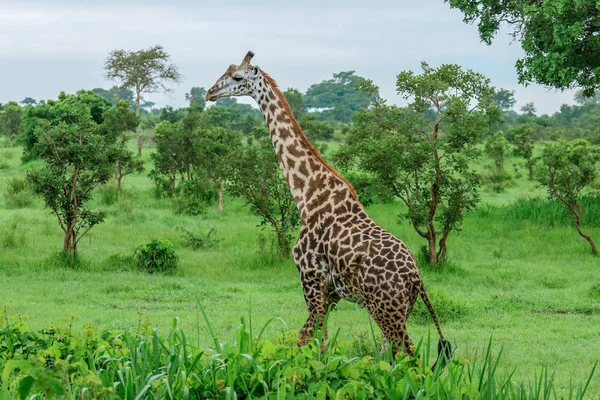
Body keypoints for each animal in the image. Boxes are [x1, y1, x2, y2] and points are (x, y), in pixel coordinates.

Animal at [205, 51, 450, 364]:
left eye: (237, 77)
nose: (210, 93)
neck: (307, 196)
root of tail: (416, 278)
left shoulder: (310, 278)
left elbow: (307, 340)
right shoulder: (330, 293)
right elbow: (317, 342)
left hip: (385, 309)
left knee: (410, 356)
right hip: (399, 310)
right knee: (389, 356)